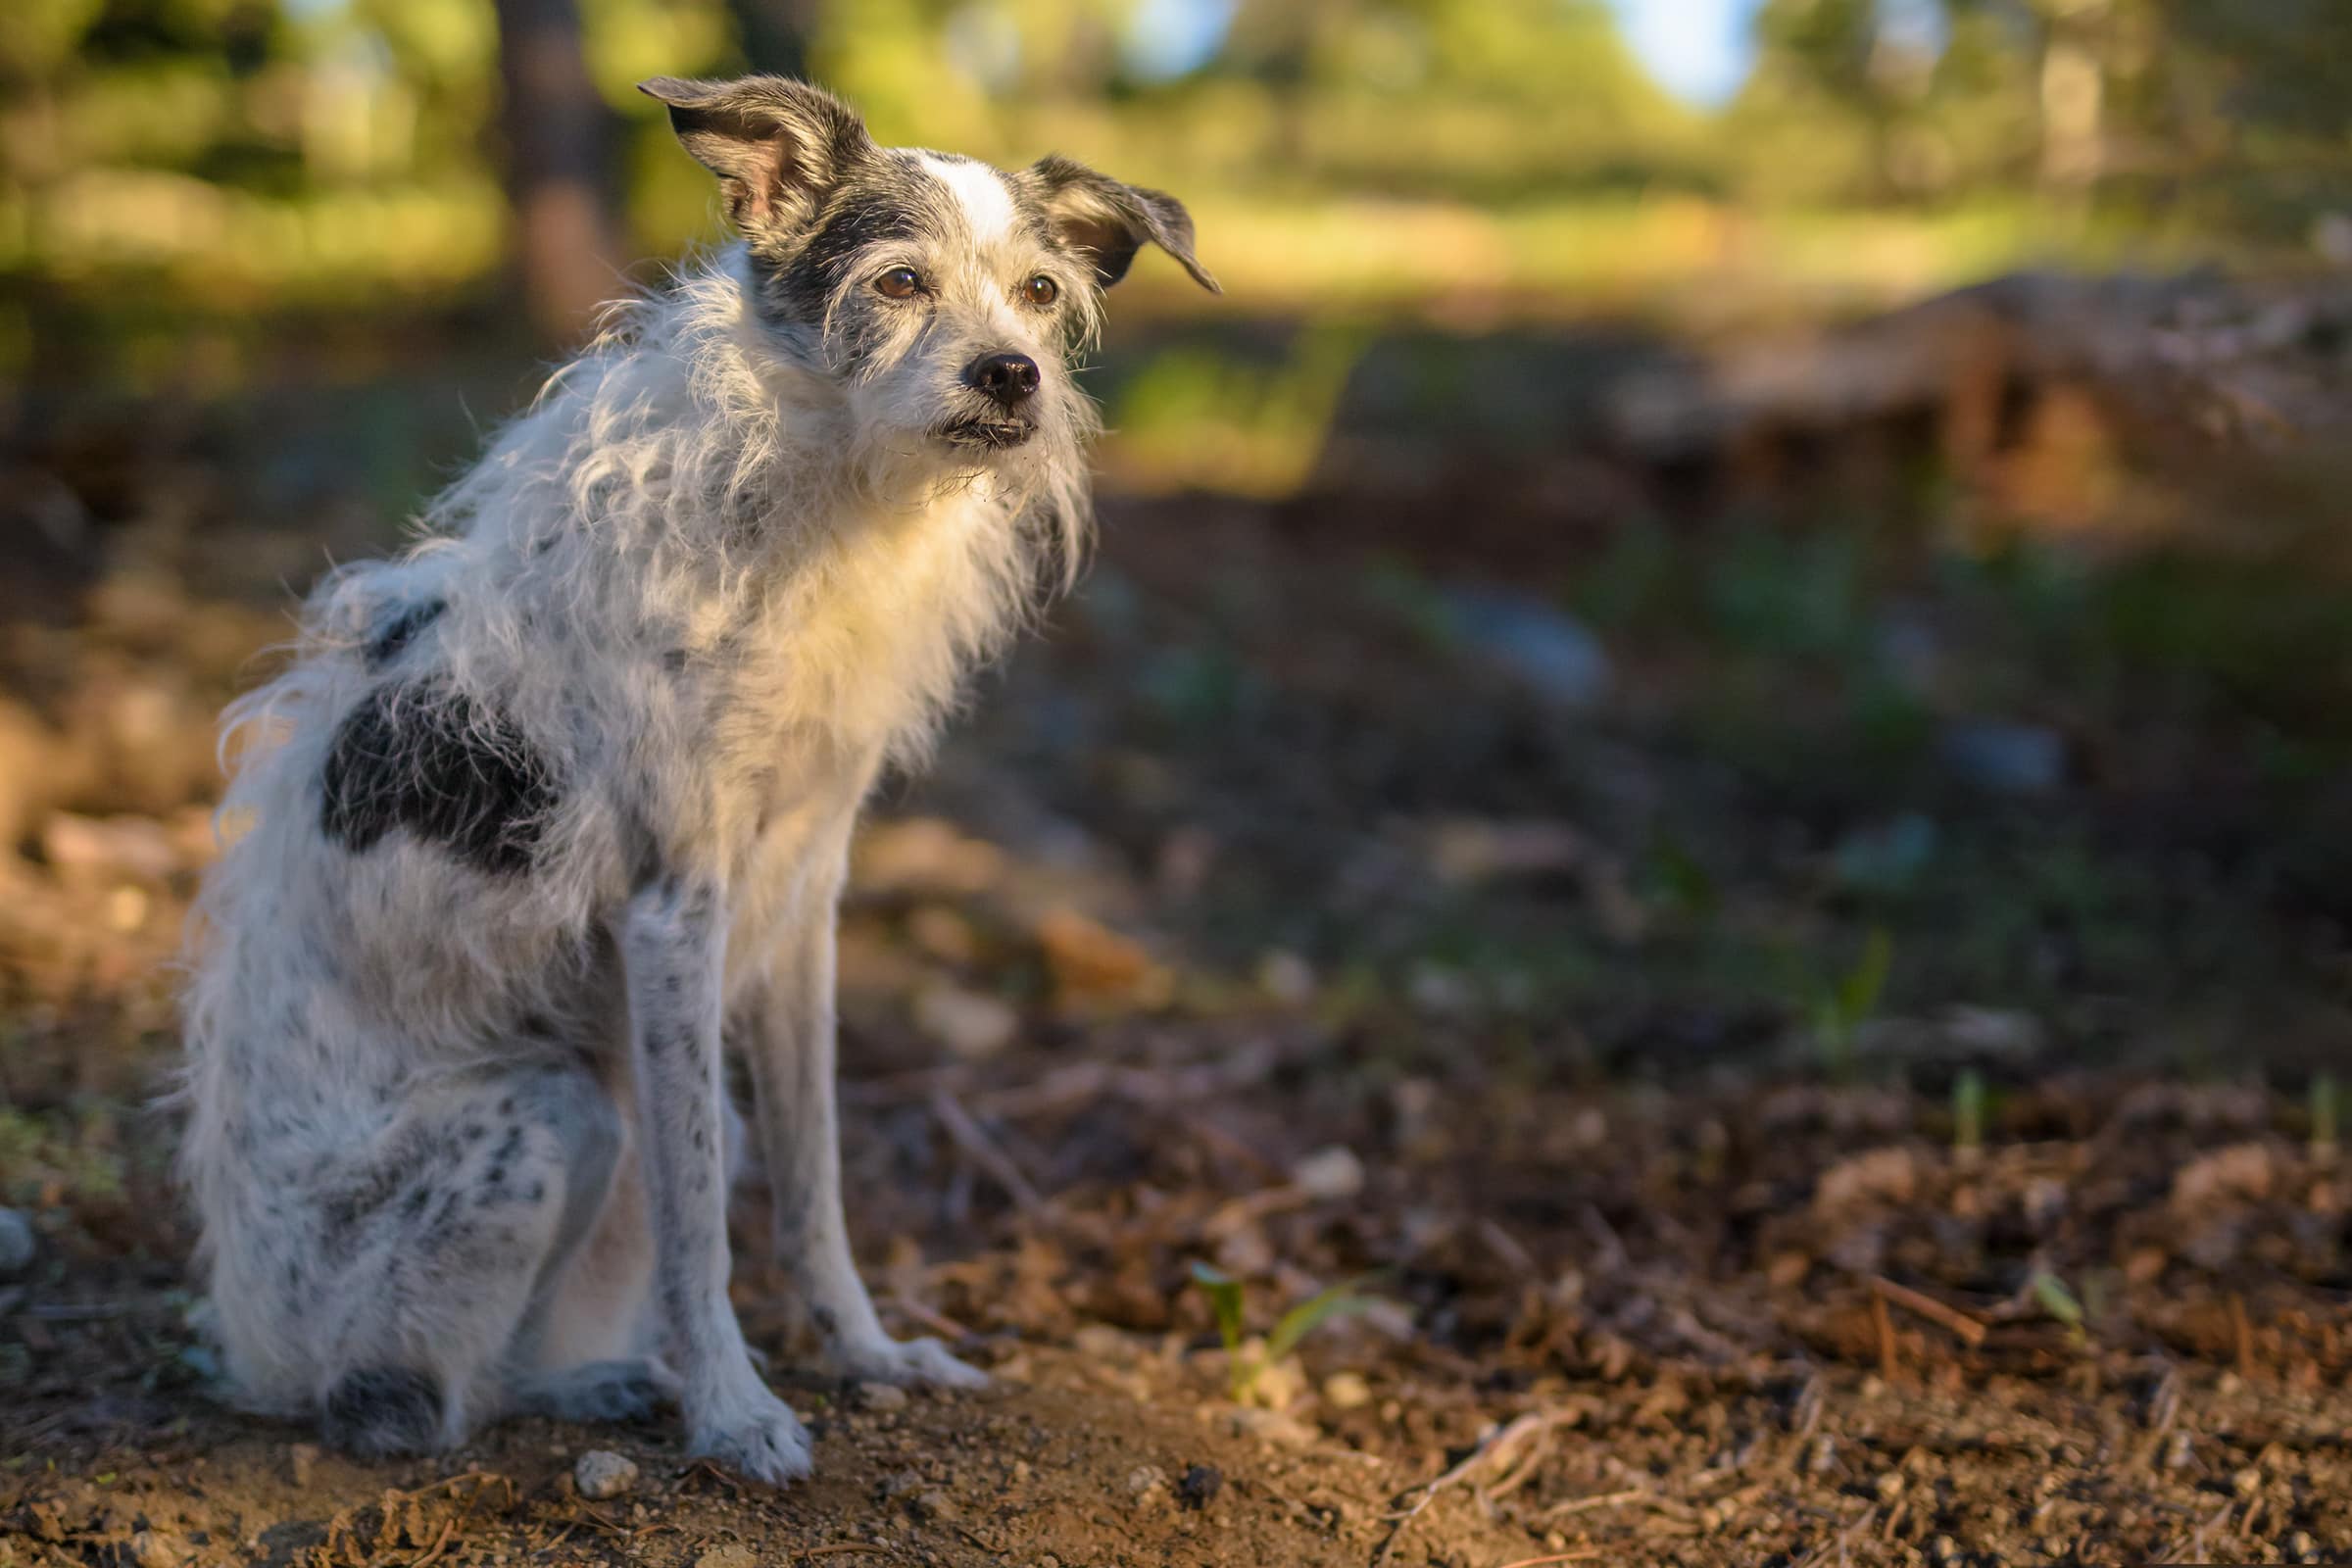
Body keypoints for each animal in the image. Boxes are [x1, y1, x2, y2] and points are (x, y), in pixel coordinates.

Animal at [171, 75, 1213, 1486]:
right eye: (898, 281)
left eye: (1042, 293)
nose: (1014, 376)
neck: (821, 493)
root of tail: (247, 1340)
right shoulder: (676, 912)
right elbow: (702, 1214)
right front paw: (734, 1410)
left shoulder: (802, 899)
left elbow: (815, 1178)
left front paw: (865, 1354)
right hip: (550, 1117)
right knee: (399, 1402)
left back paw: (602, 1380)